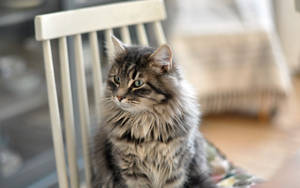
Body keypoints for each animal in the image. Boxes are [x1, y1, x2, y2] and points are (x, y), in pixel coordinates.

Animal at [91, 35, 216, 188]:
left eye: (137, 83)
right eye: (117, 79)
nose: (119, 97)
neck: (146, 121)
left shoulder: (175, 170)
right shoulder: (129, 171)